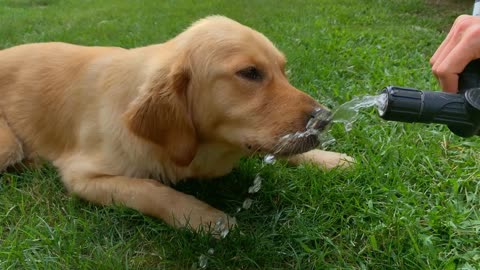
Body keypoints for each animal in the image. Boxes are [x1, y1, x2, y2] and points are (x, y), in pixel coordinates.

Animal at [0, 15, 352, 234]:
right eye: (250, 73)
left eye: (282, 70)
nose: (325, 118)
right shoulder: (82, 176)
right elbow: (151, 190)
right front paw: (206, 218)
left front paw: (330, 159)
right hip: (8, 144)